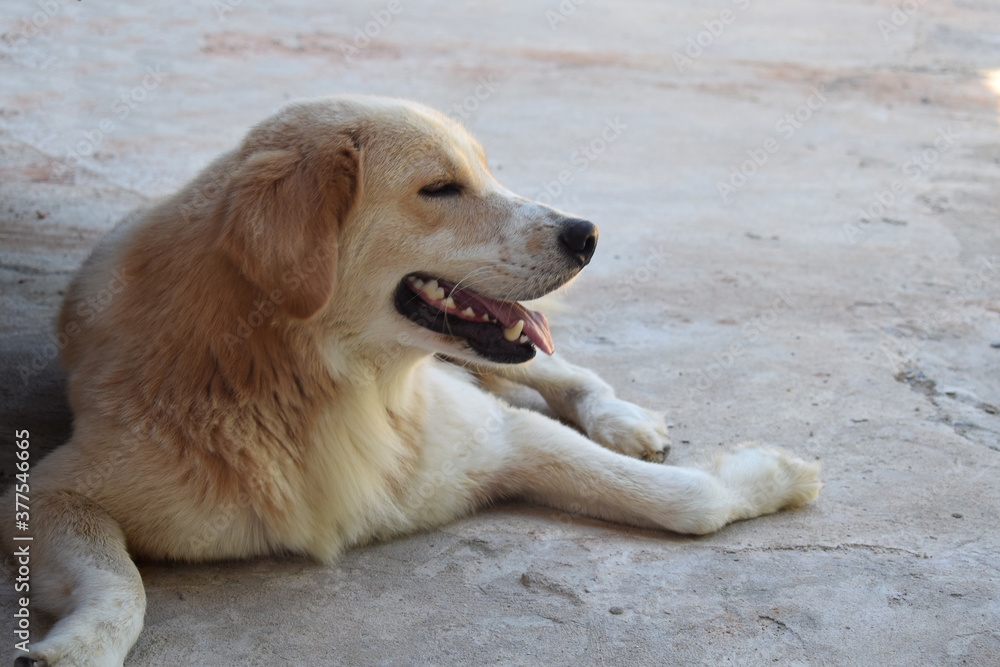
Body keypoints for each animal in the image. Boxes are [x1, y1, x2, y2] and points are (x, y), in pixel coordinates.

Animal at [3, 95, 820, 667]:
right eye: (441, 188)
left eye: (487, 171)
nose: (587, 234)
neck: (326, 386)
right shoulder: (50, 494)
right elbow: (122, 586)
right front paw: (76, 647)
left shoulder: (501, 438)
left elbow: (689, 499)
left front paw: (776, 475)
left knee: (566, 370)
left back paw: (622, 418)